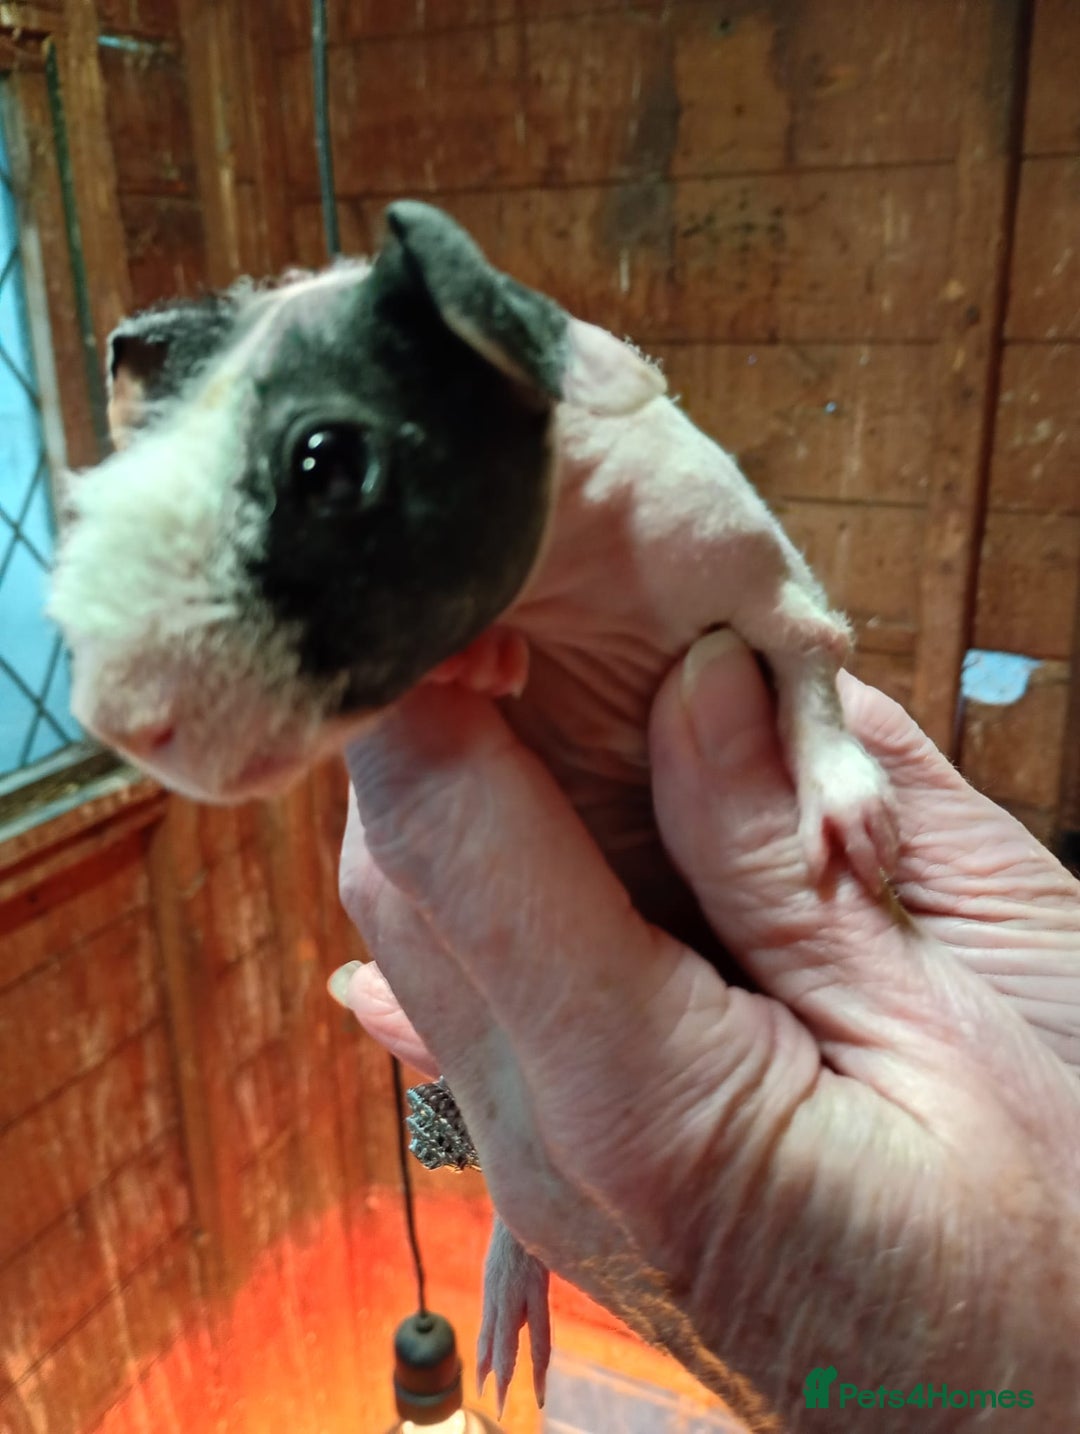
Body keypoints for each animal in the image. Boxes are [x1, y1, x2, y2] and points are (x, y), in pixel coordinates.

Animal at [48, 201, 898, 1410]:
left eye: (327, 461)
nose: (121, 715)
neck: (570, 596)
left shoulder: (743, 564)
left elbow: (810, 668)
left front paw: (851, 830)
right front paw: (480, 664)